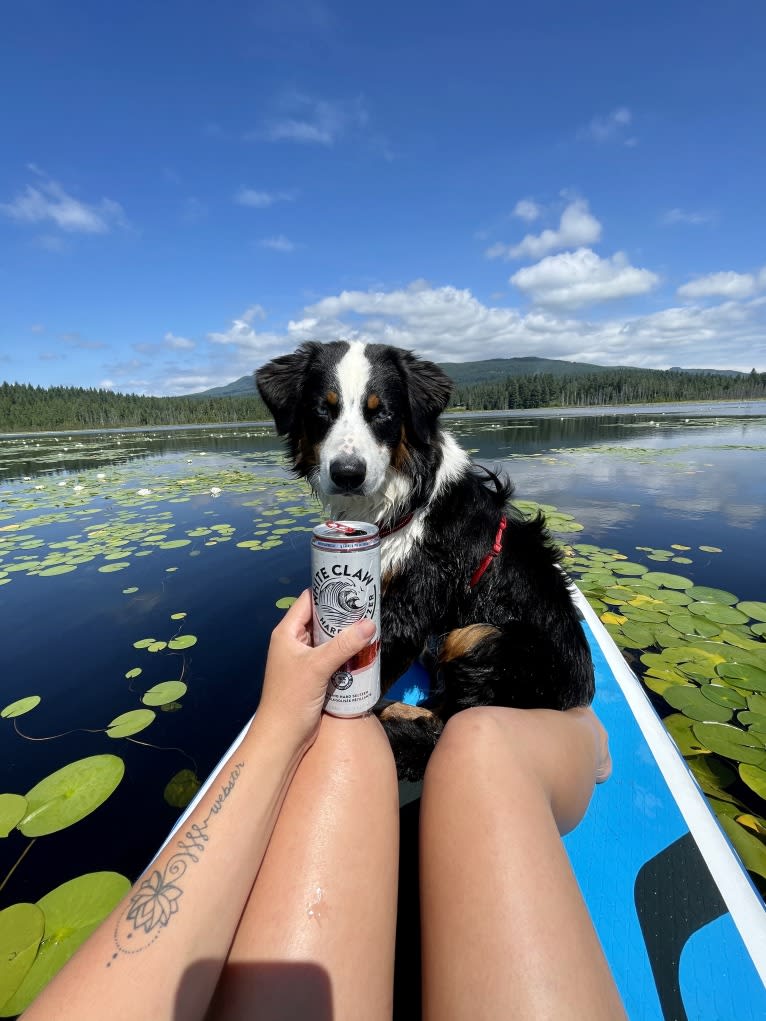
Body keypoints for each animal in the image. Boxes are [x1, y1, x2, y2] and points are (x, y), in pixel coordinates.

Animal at [255, 338, 596, 775]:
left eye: (381, 411)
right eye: (322, 409)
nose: (348, 473)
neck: (398, 504)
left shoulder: (413, 601)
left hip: (486, 637)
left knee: (448, 719)